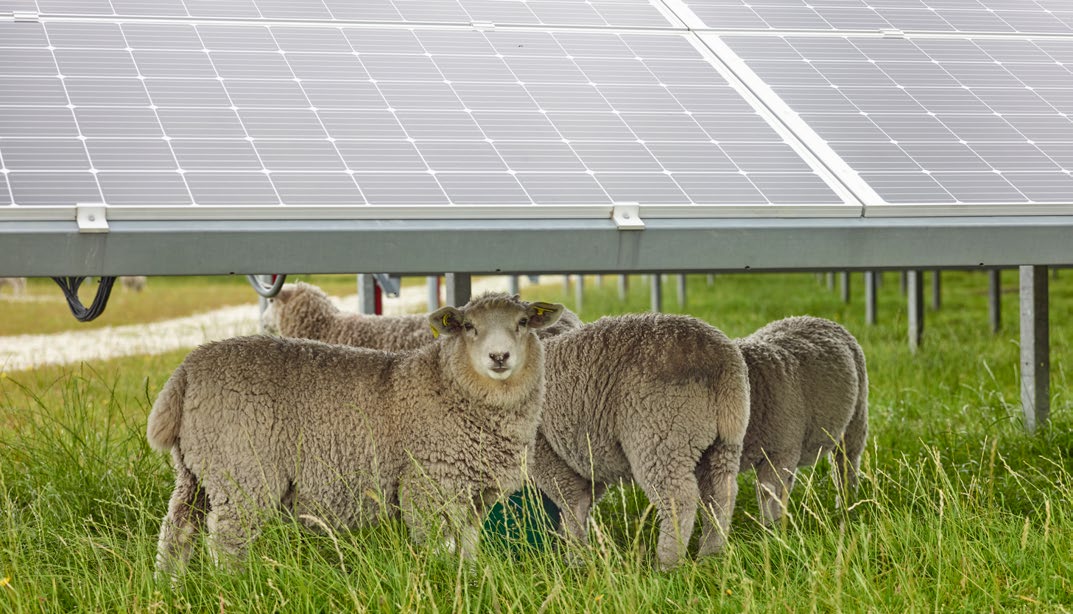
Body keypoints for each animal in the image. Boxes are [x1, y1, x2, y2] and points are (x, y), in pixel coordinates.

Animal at [150, 289, 570, 575]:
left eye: (522, 323)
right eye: (469, 327)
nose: (499, 357)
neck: (446, 384)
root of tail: (187, 370)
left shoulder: (473, 495)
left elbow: (467, 548)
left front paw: (468, 582)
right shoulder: (425, 485)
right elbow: (437, 548)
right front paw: (441, 583)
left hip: (196, 470)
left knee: (177, 532)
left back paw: (169, 585)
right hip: (242, 471)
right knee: (226, 543)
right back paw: (233, 586)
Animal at [532, 315, 751, 571]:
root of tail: (722, 362)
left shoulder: (544, 452)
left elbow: (571, 502)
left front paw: (575, 557)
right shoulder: (590, 460)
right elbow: (584, 501)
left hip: (659, 436)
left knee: (679, 499)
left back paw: (666, 565)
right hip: (724, 443)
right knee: (721, 492)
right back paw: (711, 553)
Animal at [738, 315, 871, 523]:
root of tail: (814, 318)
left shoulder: (780, 452)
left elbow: (768, 494)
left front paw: (771, 528)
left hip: (854, 422)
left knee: (845, 466)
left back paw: (846, 506)